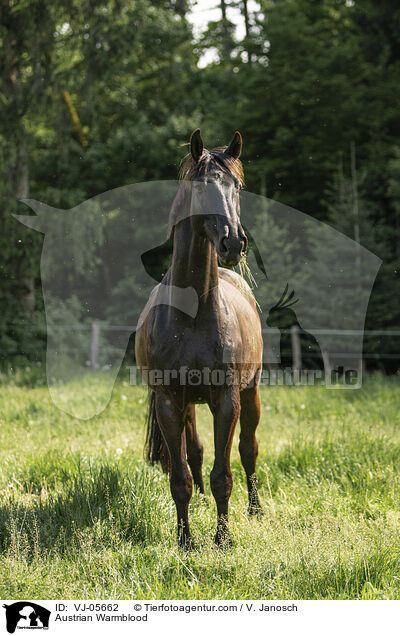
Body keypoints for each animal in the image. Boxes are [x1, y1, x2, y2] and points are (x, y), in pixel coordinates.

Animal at [136, 129, 264, 548]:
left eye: (237, 187)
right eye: (200, 187)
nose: (233, 244)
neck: (193, 316)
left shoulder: (227, 399)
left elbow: (224, 473)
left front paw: (223, 538)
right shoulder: (169, 401)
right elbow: (181, 477)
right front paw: (185, 540)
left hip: (251, 391)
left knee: (248, 450)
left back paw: (256, 509)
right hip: (189, 404)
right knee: (194, 453)